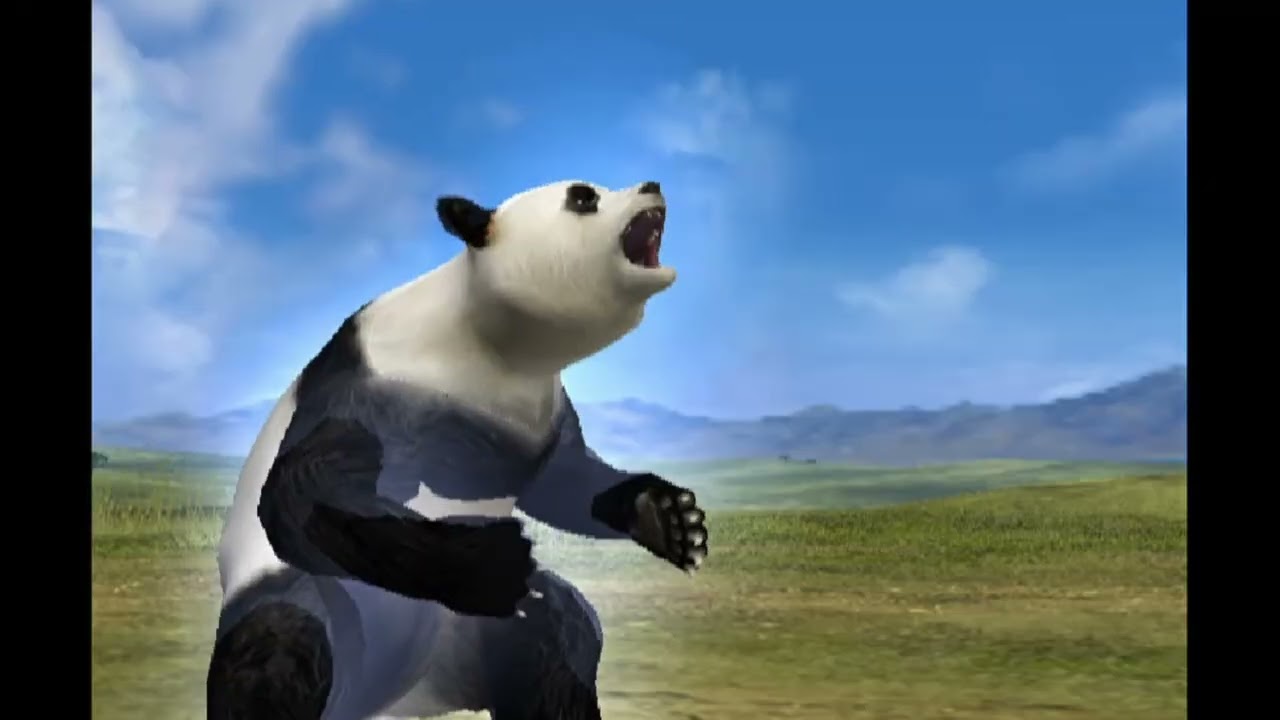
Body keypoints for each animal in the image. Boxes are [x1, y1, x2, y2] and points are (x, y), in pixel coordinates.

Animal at [207, 179, 710, 720]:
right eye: (583, 197)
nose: (652, 186)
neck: (495, 345)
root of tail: (407, 700)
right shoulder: (378, 388)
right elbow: (304, 487)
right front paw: (498, 561)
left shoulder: (538, 414)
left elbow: (565, 486)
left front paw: (669, 519)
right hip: (325, 596)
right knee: (281, 647)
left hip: (476, 633)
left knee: (554, 644)